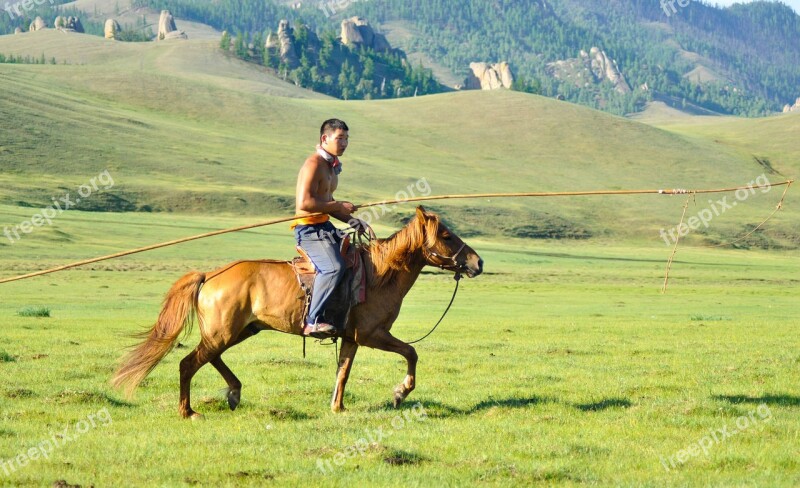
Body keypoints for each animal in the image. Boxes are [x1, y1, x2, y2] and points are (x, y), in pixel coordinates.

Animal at [111, 206, 482, 420]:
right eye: (446, 235)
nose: (478, 263)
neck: (380, 273)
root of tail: (211, 275)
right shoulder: (373, 335)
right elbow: (411, 353)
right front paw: (400, 392)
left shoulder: (351, 337)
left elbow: (343, 373)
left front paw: (337, 407)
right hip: (224, 333)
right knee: (189, 363)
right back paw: (188, 411)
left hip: (238, 331)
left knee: (210, 358)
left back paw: (234, 392)